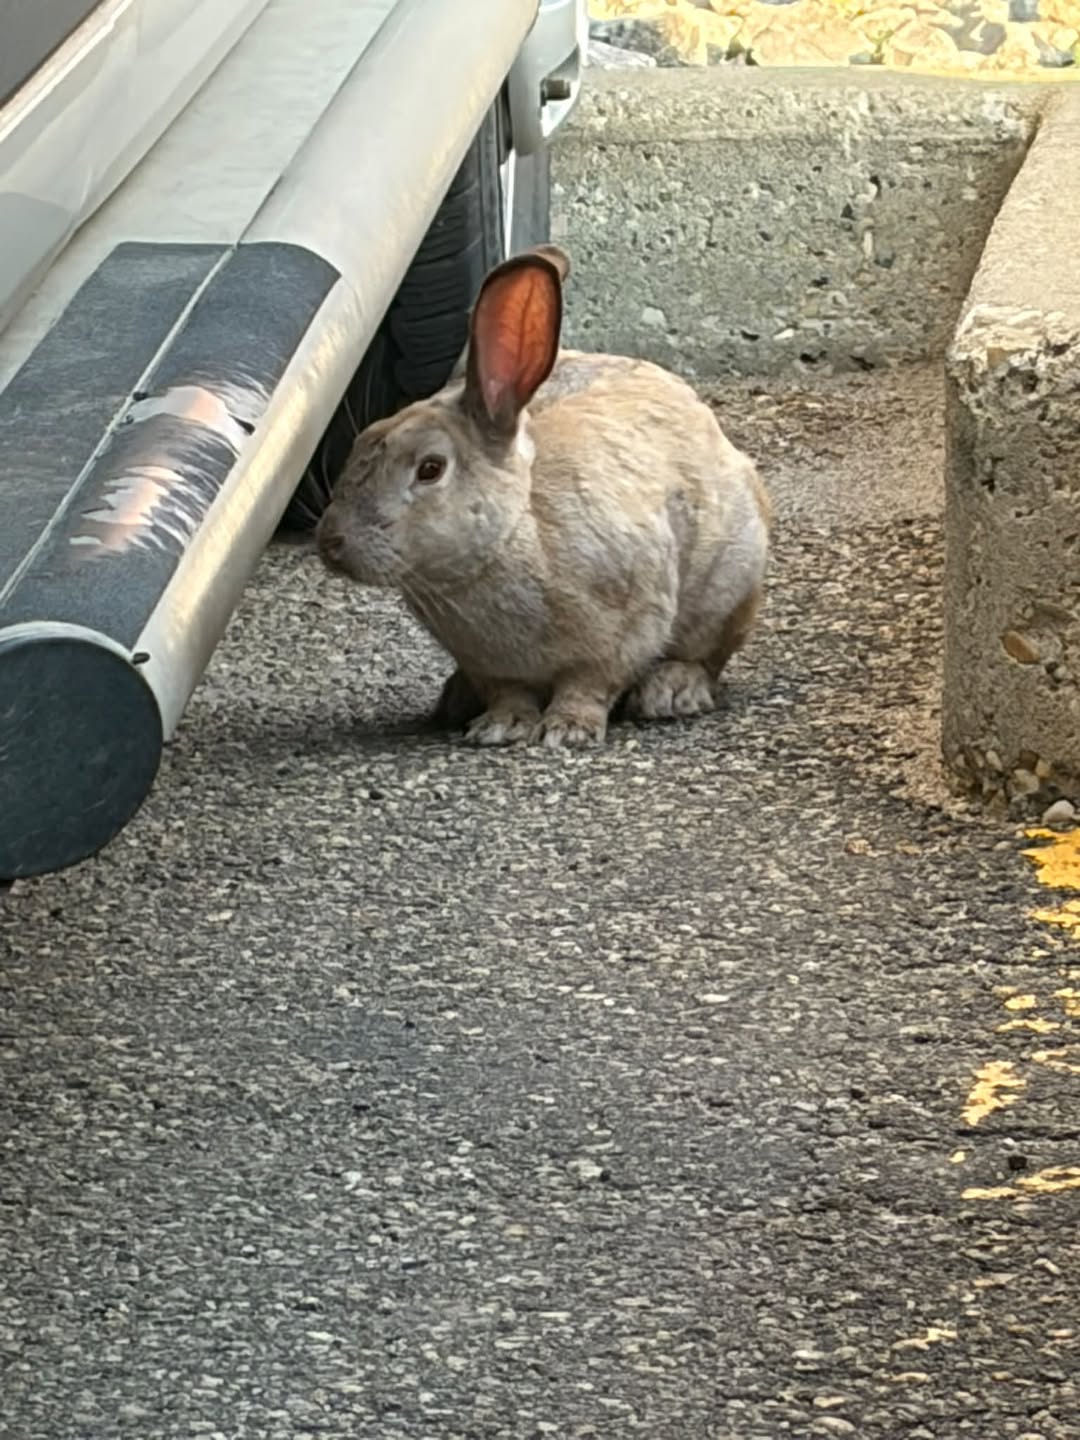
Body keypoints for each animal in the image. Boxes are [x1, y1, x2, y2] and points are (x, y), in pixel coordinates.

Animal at [316, 243, 770, 748]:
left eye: (430, 468)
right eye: (361, 444)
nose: (329, 542)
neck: (512, 534)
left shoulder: (624, 630)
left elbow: (589, 684)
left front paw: (566, 730)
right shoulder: (491, 667)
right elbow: (509, 694)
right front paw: (500, 727)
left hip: (729, 586)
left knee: (705, 656)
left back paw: (672, 692)